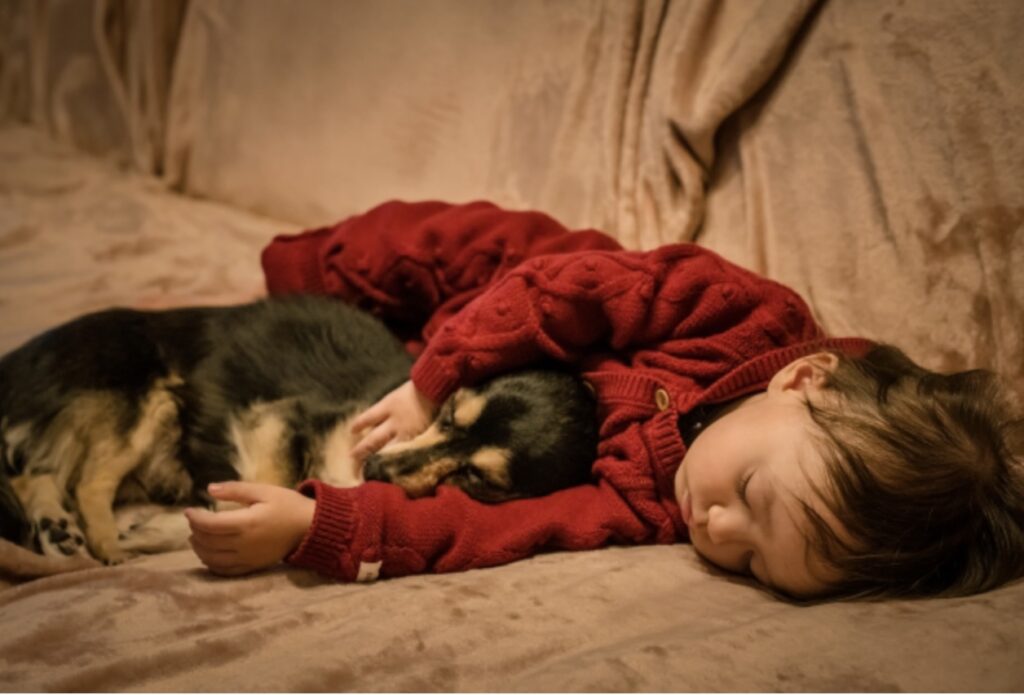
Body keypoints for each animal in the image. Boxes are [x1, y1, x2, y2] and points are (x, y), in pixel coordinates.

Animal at [0, 296, 598, 560]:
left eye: (480, 481)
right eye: (447, 413)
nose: (374, 468)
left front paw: (185, 527)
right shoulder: (275, 420)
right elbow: (269, 484)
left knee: (41, 475)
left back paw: (64, 532)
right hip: (142, 400)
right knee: (78, 479)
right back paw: (99, 544)